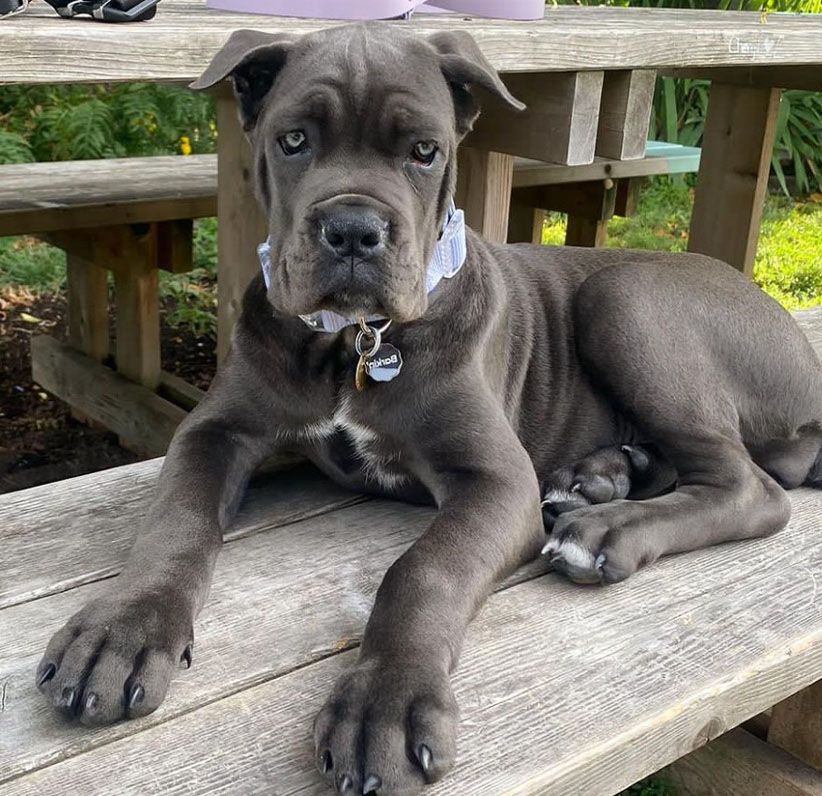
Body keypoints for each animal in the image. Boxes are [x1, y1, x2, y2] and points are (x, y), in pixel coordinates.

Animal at [35, 23, 822, 796]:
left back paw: (606, 527)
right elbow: (177, 521)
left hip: (626, 298)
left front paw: (385, 701)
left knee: (753, 489)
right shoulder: (215, 431)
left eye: (424, 151)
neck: (355, 340)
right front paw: (122, 630)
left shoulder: (496, 480)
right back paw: (602, 476)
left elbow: (422, 572)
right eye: (294, 140)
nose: (354, 229)